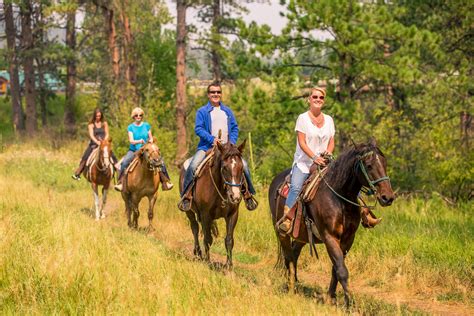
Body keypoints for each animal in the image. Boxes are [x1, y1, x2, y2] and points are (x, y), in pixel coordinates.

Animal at [268, 140, 394, 306]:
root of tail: (275, 181)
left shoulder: (348, 239)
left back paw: (294, 283)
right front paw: (350, 303)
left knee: (294, 253)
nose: (388, 197)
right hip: (282, 232)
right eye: (368, 165)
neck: (339, 197)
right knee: (288, 256)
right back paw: (290, 287)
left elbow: (336, 268)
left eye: (385, 163)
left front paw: (331, 297)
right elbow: (341, 269)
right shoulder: (329, 237)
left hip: (302, 235)